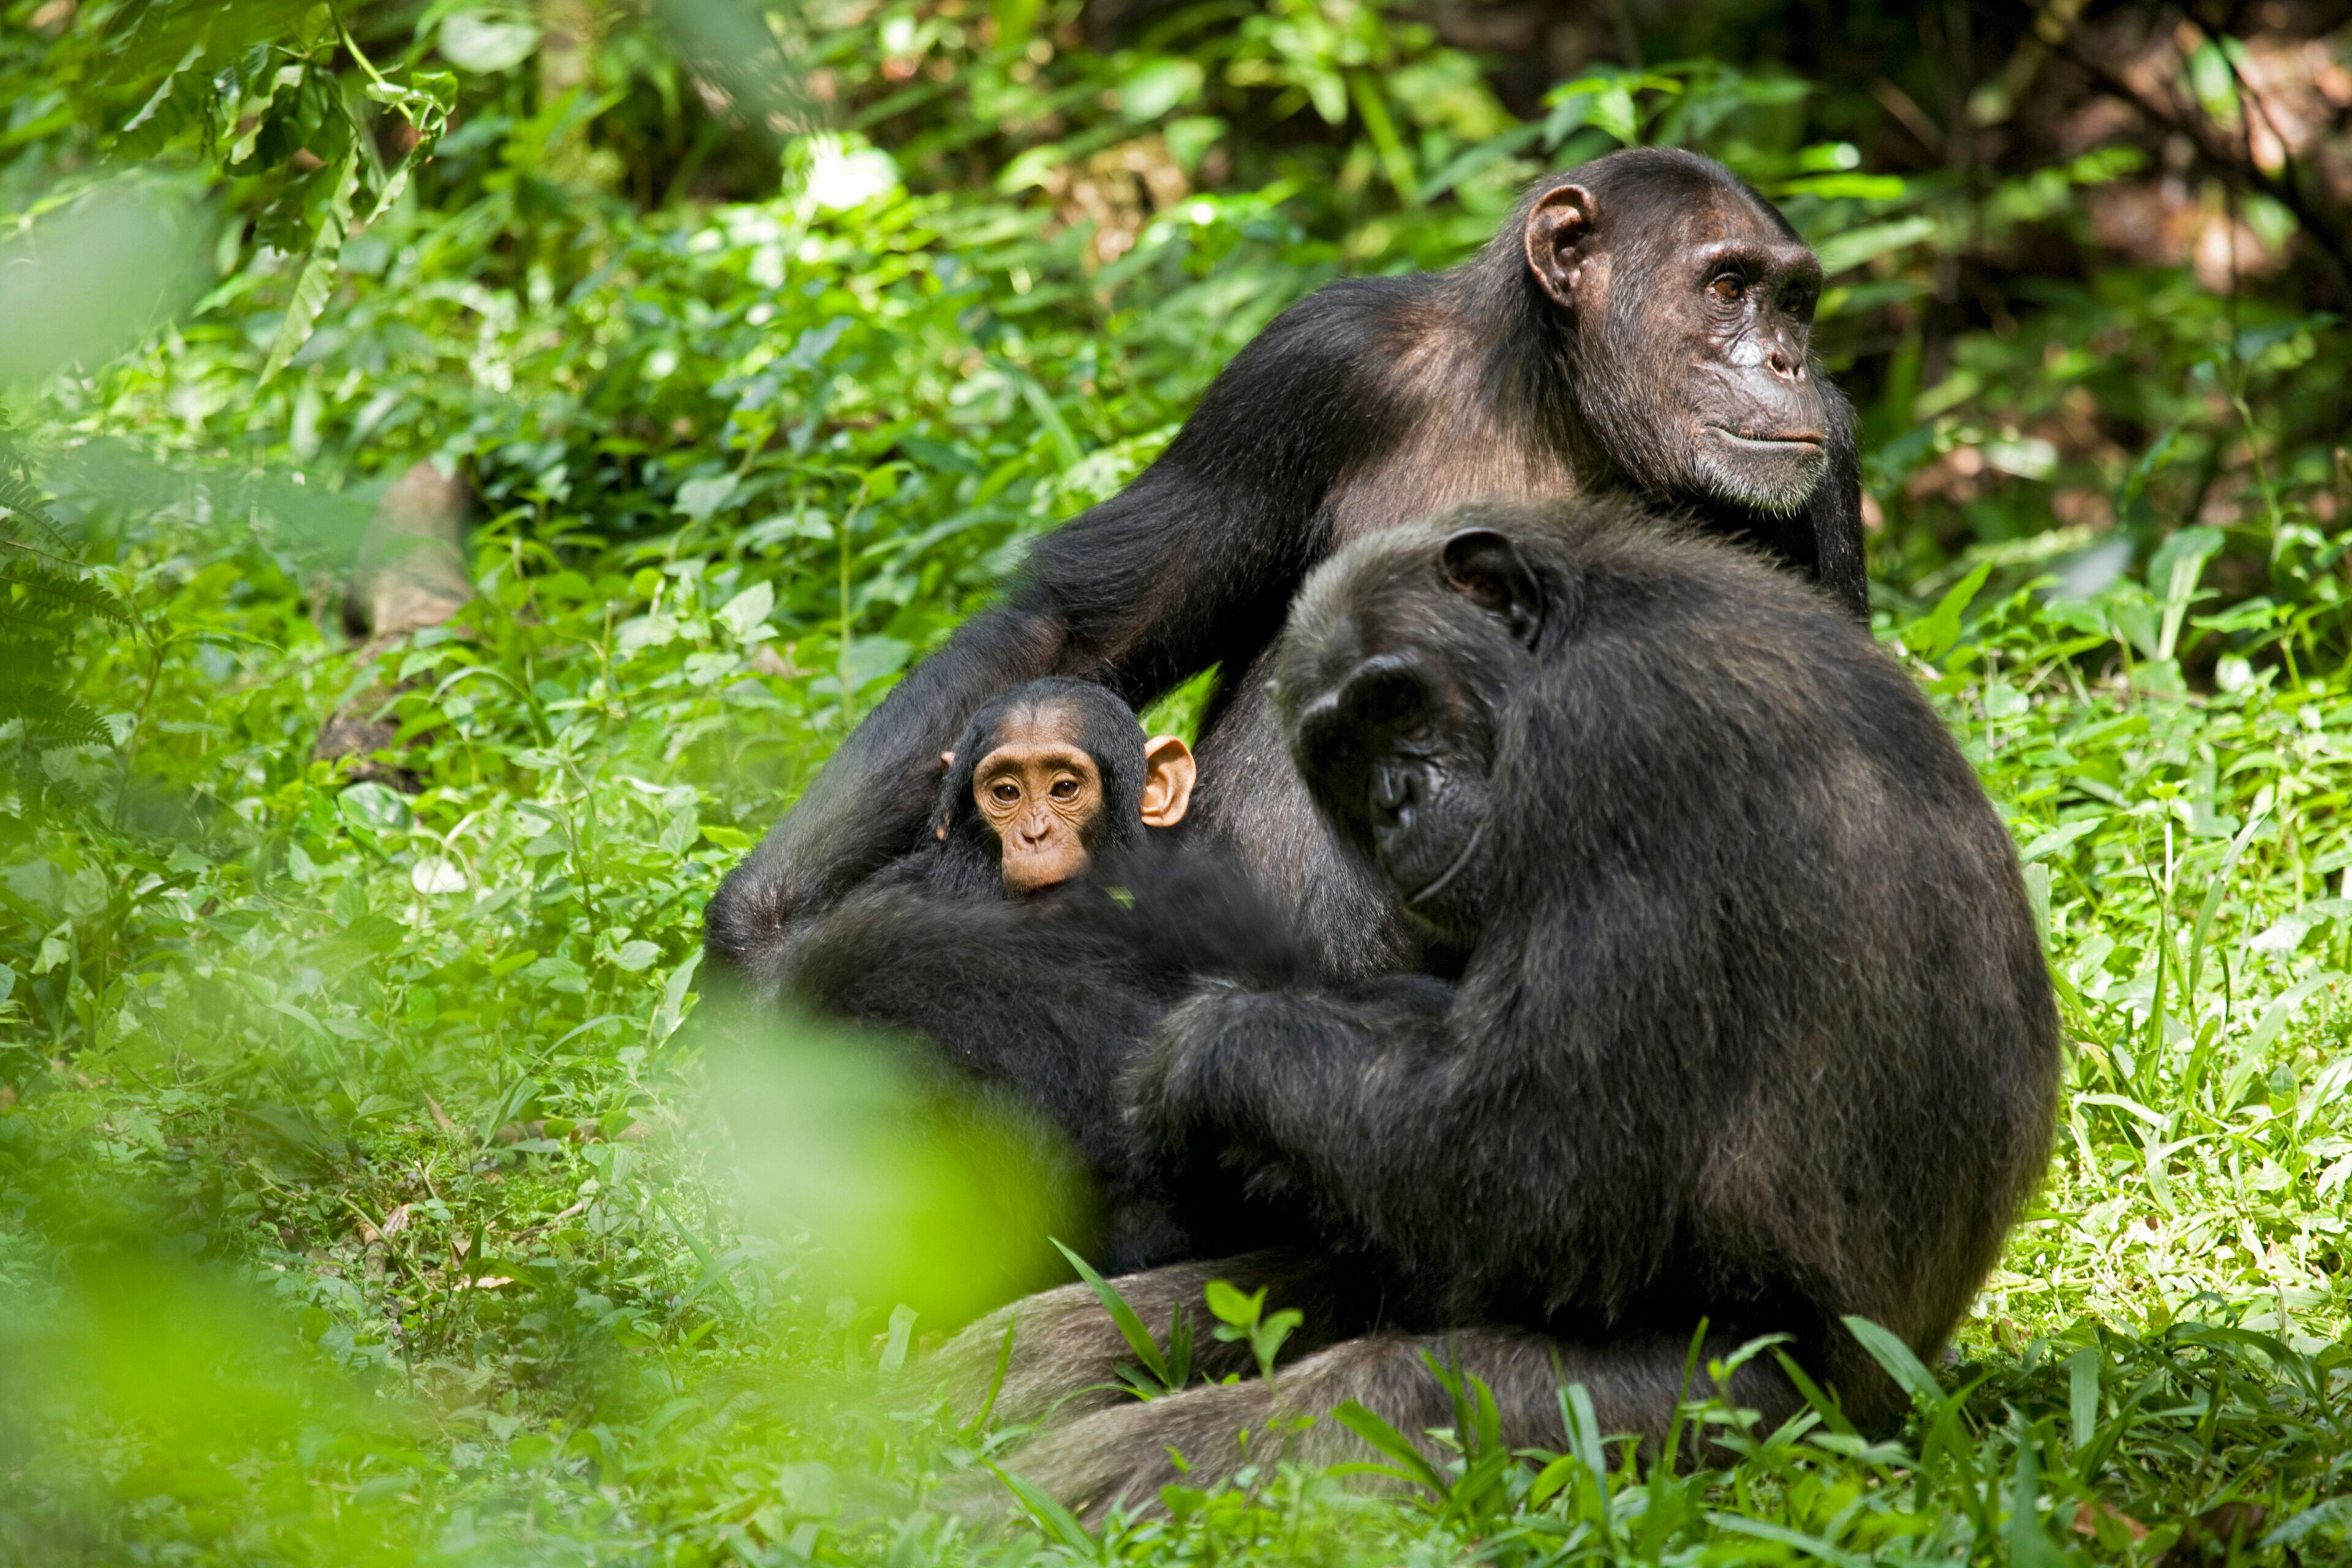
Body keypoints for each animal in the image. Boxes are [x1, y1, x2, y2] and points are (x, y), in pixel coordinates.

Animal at [706, 147, 1867, 991]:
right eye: (1727, 287)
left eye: (1794, 303)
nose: (1786, 361)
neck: (1559, 409)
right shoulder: (1309, 369)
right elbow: (1090, 623)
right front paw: (758, 930)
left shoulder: (1823, 474)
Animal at [923, 499, 2060, 1518]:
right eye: (1339, 749)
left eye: (1394, 703)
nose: (1397, 799)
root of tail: (1906, 1386)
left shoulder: (1607, 749)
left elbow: (1539, 1164)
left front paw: (1202, 1057)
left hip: (1735, 1409)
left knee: (1370, 1401)